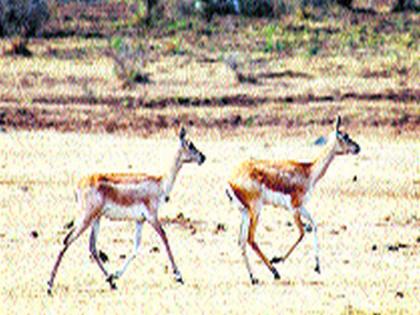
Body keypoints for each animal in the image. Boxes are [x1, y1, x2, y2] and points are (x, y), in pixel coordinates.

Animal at [47, 127, 205, 296]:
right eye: (190, 145)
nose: (203, 157)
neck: (160, 183)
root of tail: (78, 185)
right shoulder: (152, 217)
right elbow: (164, 238)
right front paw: (179, 276)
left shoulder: (140, 220)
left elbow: (136, 248)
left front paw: (115, 275)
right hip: (86, 218)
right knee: (67, 240)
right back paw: (49, 285)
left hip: (96, 219)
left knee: (92, 248)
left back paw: (111, 282)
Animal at [226, 117, 360, 286]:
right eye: (346, 136)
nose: (358, 148)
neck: (308, 172)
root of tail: (230, 181)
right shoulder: (294, 208)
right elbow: (302, 233)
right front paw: (277, 259)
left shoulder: (302, 207)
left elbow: (314, 225)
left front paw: (317, 266)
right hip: (256, 210)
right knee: (251, 239)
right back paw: (275, 272)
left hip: (245, 212)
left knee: (242, 241)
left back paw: (254, 278)